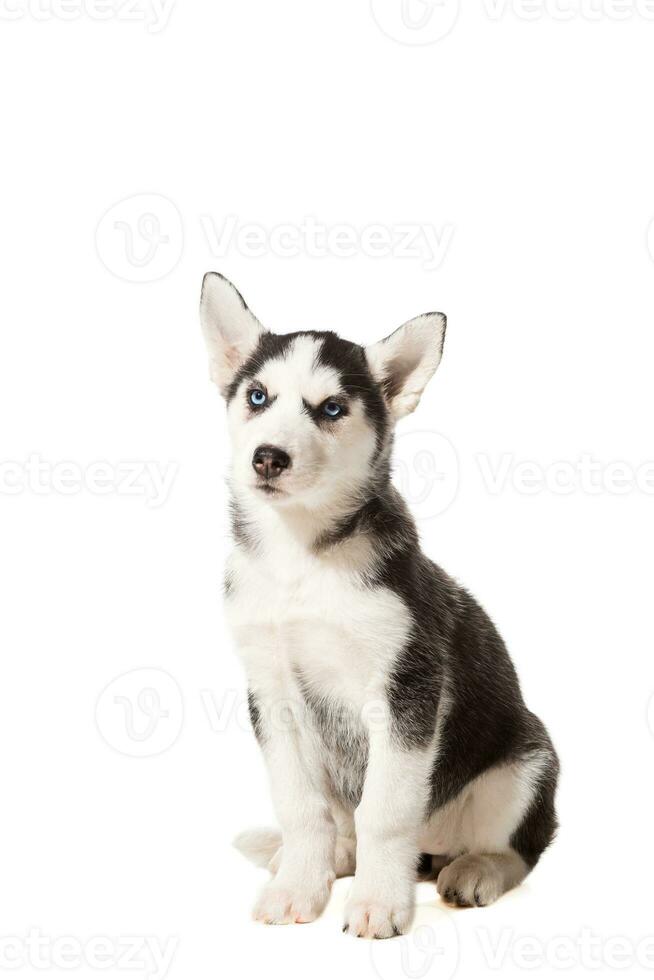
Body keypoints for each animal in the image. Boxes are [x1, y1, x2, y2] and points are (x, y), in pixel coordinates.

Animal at [200, 274, 560, 940]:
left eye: (332, 409)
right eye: (258, 397)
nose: (268, 456)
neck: (300, 558)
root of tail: (435, 852)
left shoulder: (406, 688)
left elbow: (386, 812)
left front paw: (378, 903)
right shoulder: (270, 692)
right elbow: (301, 806)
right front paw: (299, 887)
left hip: (527, 762)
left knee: (519, 847)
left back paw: (475, 870)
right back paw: (327, 859)